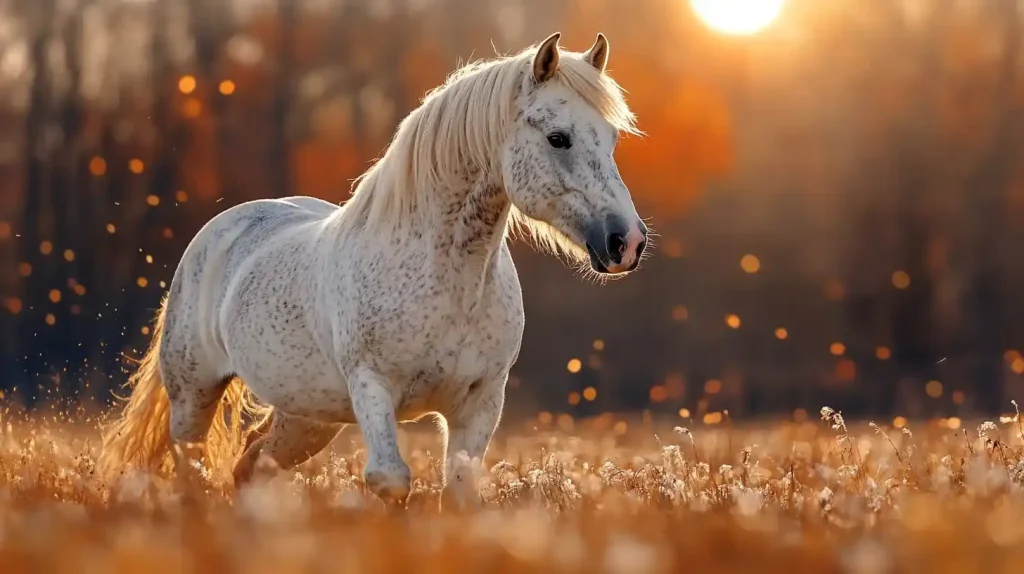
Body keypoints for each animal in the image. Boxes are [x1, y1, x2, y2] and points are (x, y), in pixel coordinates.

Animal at [97, 31, 649, 509]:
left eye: (612, 140)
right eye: (558, 138)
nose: (626, 243)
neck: (448, 281)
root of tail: (222, 229)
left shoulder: (480, 400)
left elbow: (459, 491)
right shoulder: (373, 385)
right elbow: (390, 481)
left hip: (307, 416)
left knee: (251, 465)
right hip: (194, 395)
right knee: (193, 470)